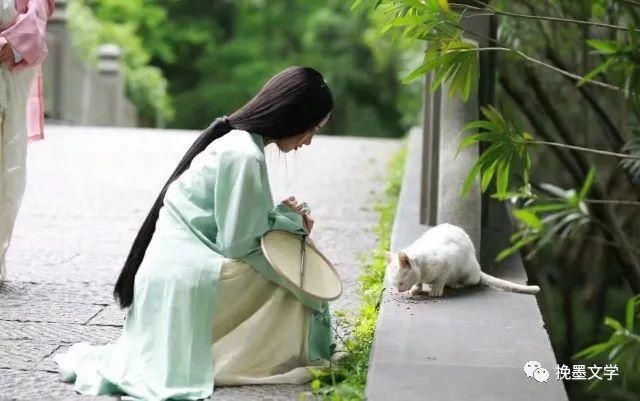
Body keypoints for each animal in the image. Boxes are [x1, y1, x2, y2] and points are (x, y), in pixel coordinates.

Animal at [384, 223, 540, 296]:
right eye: (394, 284)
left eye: (401, 282)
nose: (399, 290)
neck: (422, 270)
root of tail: (477, 267)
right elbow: (418, 282)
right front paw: (416, 288)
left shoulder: (447, 263)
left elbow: (441, 278)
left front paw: (436, 289)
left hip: (468, 272)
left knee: (473, 281)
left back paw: (455, 284)